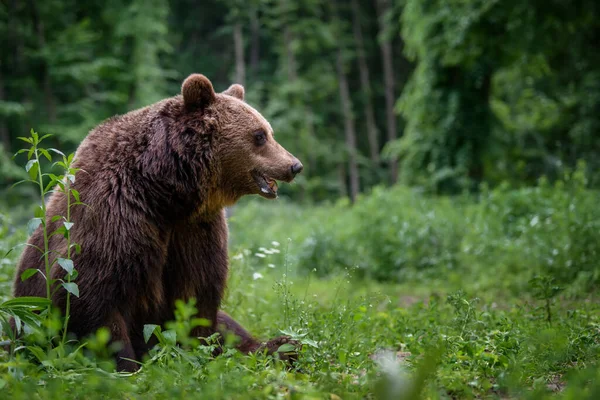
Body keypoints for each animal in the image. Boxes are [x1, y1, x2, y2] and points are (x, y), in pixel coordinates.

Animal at [12, 74, 304, 372]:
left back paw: (284, 347)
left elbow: (197, 294)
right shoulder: (113, 216)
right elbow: (90, 294)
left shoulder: (195, 229)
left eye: (269, 132)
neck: (163, 192)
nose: (295, 166)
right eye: (260, 135)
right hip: (26, 320)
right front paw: (127, 365)